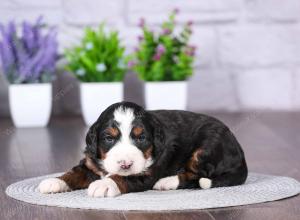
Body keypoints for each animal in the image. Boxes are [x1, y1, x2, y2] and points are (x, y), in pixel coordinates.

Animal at [38, 102, 247, 198]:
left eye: (141, 138)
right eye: (109, 138)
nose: (125, 164)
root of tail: (241, 155)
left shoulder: (147, 173)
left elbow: (122, 177)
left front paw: (104, 184)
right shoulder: (90, 163)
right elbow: (74, 172)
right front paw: (54, 182)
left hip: (206, 148)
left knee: (196, 176)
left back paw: (166, 182)